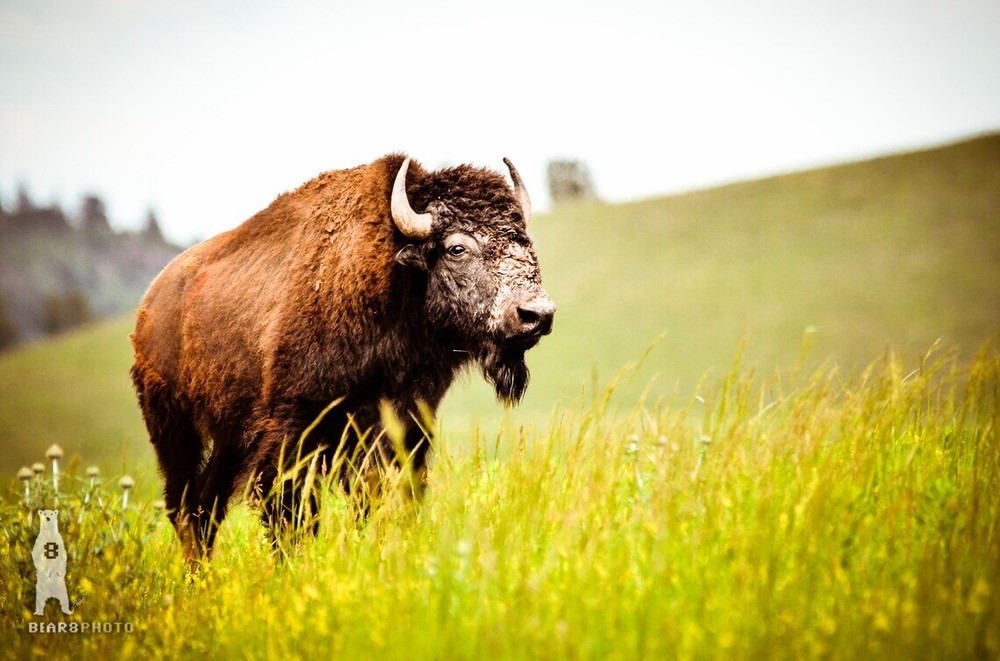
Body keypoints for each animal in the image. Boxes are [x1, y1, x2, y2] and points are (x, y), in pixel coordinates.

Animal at [130, 154, 554, 561]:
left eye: (524, 241)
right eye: (457, 248)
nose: (537, 314)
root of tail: (150, 303)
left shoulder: (405, 424)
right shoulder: (292, 428)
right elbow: (291, 509)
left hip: (228, 436)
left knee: (207, 506)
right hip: (174, 427)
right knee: (185, 505)